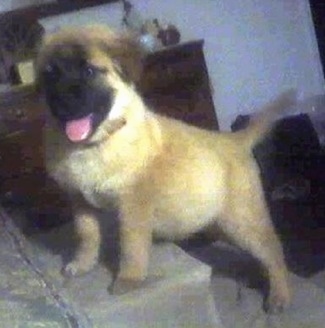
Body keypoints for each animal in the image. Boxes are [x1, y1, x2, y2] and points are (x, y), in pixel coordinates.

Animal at [35, 25, 294, 312]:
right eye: (50, 75)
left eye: (89, 71)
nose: (62, 103)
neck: (97, 144)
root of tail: (234, 140)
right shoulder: (80, 201)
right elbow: (86, 234)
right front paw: (82, 264)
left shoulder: (132, 206)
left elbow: (131, 246)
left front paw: (128, 279)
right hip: (221, 220)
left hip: (242, 219)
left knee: (273, 249)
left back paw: (280, 295)